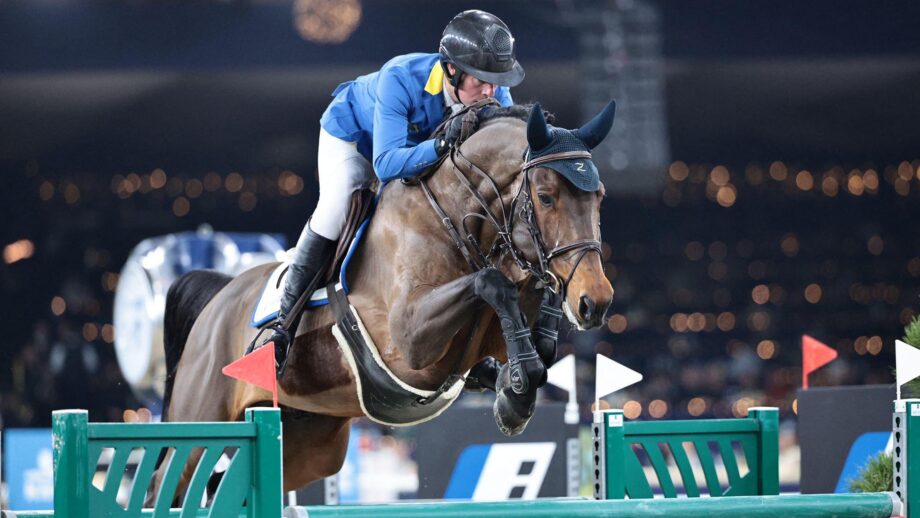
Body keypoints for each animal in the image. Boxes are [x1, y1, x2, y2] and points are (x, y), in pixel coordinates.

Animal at [155, 101, 616, 496]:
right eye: (546, 197)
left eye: (599, 197)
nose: (596, 301)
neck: (453, 218)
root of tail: (218, 296)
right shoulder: (409, 342)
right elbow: (491, 283)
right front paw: (515, 397)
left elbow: (534, 326)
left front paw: (512, 387)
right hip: (201, 420)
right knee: (167, 478)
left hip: (308, 442)